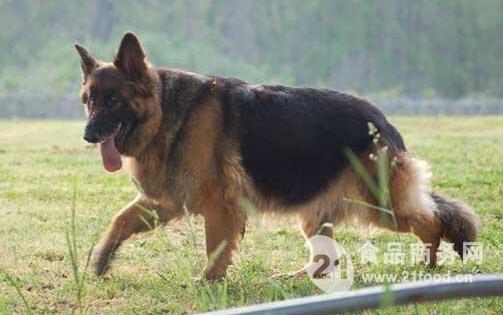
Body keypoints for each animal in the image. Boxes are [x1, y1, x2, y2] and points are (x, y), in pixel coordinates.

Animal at [76, 32, 480, 278]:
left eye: (113, 100)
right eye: (89, 101)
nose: (88, 135)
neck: (168, 111)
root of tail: (382, 119)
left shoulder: (217, 204)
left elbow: (215, 247)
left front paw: (209, 282)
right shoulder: (170, 199)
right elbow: (121, 219)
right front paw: (101, 260)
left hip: (380, 205)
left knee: (430, 222)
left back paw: (427, 264)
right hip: (318, 214)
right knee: (326, 257)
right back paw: (298, 278)